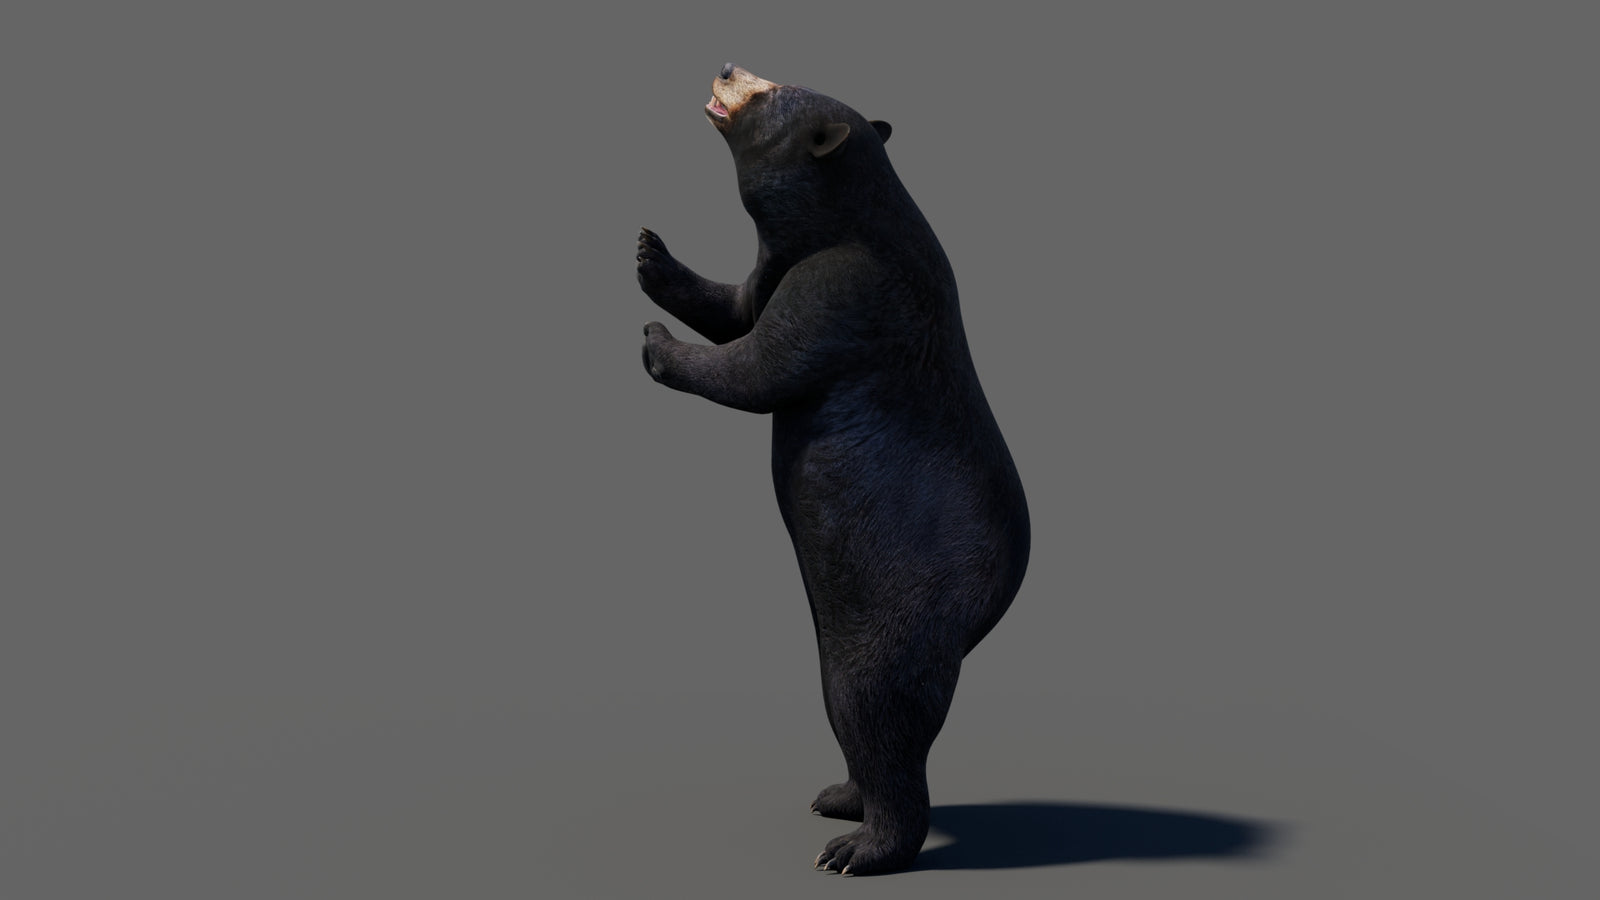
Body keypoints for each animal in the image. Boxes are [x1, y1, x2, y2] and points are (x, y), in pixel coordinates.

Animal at [637, 63, 1029, 875]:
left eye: (768, 89)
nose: (727, 66)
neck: (845, 216)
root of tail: (984, 612)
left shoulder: (844, 284)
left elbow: (759, 366)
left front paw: (657, 342)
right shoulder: (783, 261)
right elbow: (740, 304)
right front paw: (651, 253)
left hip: (898, 610)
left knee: (876, 707)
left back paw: (858, 848)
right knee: (850, 712)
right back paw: (839, 796)